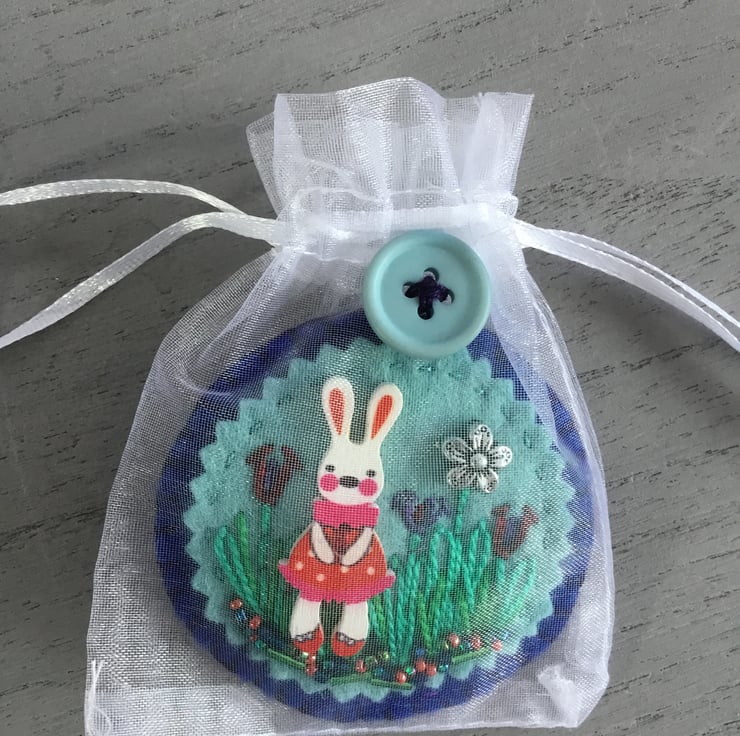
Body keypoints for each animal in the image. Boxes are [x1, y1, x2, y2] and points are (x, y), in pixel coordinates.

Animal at [278, 376, 403, 657]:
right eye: (330, 468)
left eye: (371, 474)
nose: (349, 481)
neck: (345, 512)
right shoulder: (321, 514)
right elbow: (318, 536)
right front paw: (327, 556)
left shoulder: (368, 521)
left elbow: (361, 542)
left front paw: (347, 560)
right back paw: (307, 638)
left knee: (356, 607)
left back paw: (347, 642)